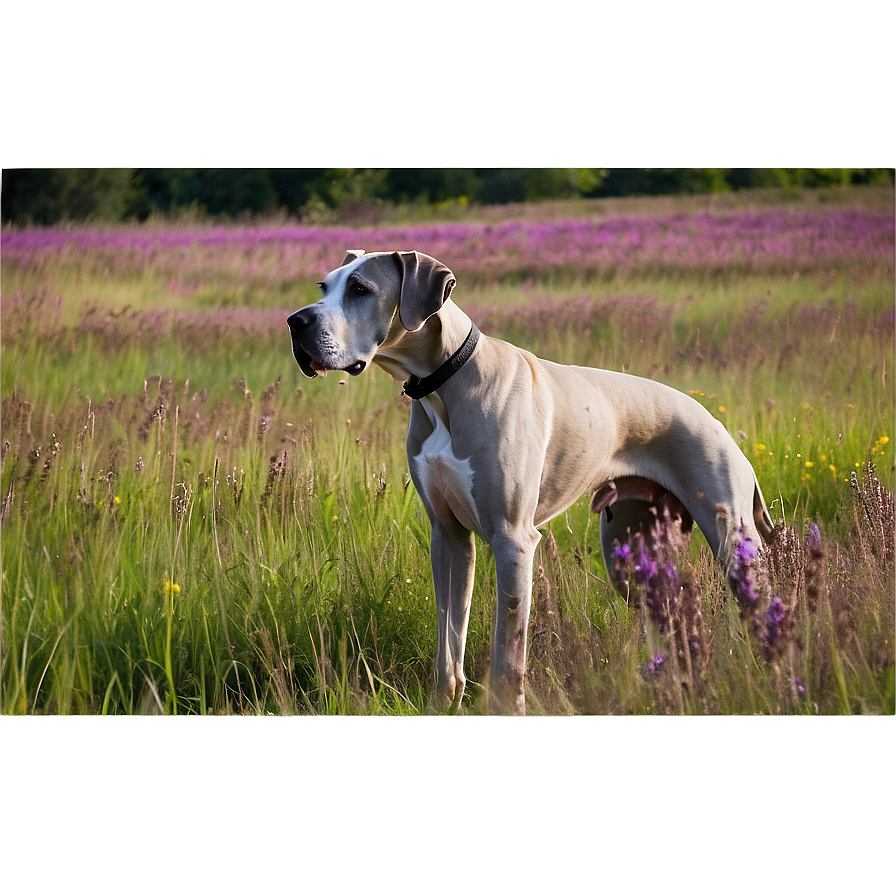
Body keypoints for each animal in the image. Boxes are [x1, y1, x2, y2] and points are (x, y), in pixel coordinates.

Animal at [288, 252, 776, 712]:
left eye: (360, 288)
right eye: (324, 286)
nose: (295, 321)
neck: (445, 382)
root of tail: (715, 421)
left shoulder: (513, 541)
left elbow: (508, 657)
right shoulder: (448, 537)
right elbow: (449, 646)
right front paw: (442, 706)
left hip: (734, 543)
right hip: (630, 556)